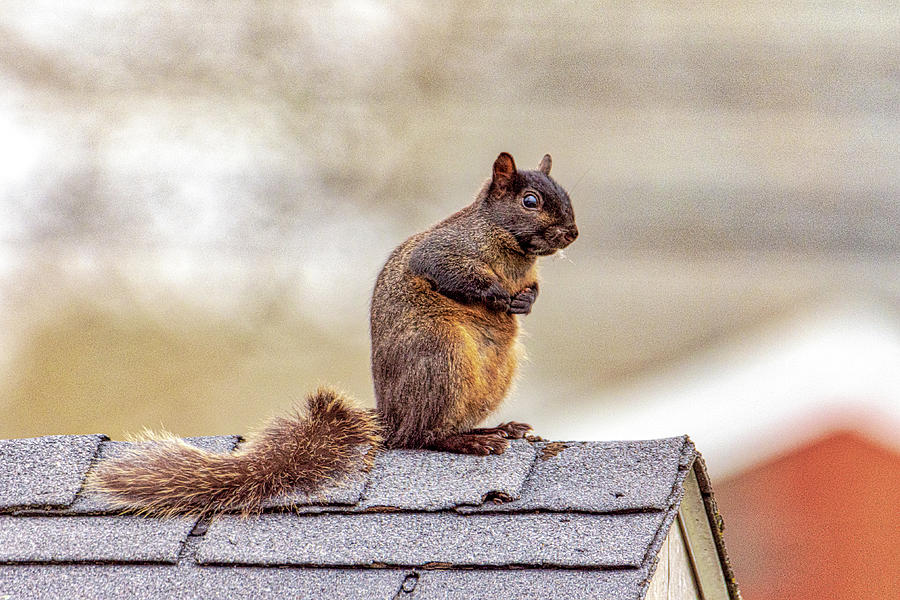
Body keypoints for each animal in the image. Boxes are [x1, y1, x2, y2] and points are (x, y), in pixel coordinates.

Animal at [86, 154, 576, 516]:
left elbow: (533, 288)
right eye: (530, 201)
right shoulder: (444, 250)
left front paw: (526, 301)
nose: (572, 234)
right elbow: (451, 273)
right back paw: (468, 440)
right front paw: (497, 294)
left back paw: (501, 428)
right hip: (441, 356)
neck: (512, 248)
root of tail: (390, 415)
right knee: (419, 437)